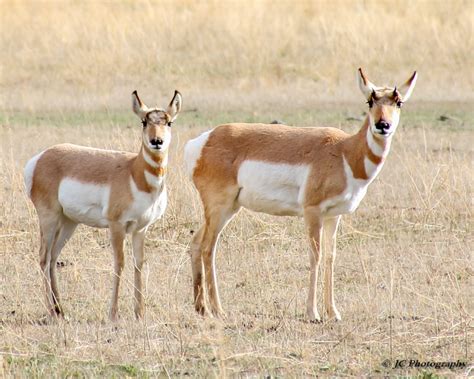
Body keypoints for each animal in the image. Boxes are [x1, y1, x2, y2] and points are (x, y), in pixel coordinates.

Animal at [24, 90, 183, 320]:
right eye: (144, 121)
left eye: (169, 122)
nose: (157, 141)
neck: (134, 172)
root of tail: (39, 158)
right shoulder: (117, 226)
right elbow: (120, 263)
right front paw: (114, 313)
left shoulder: (140, 229)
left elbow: (138, 263)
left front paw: (140, 313)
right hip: (49, 218)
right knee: (44, 258)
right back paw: (51, 311)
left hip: (69, 222)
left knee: (53, 257)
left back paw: (61, 310)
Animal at [184, 70, 414, 322]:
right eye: (370, 101)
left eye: (399, 102)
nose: (383, 125)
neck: (344, 151)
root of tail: (204, 141)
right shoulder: (312, 212)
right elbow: (316, 255)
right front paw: (313, 313)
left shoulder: (333, 216)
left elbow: (330, 256)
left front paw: (333, 312)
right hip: (220, 208)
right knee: (208, 248)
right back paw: (218, 310)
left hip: (227, 210)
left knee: (196, 243)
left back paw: (201, 308)